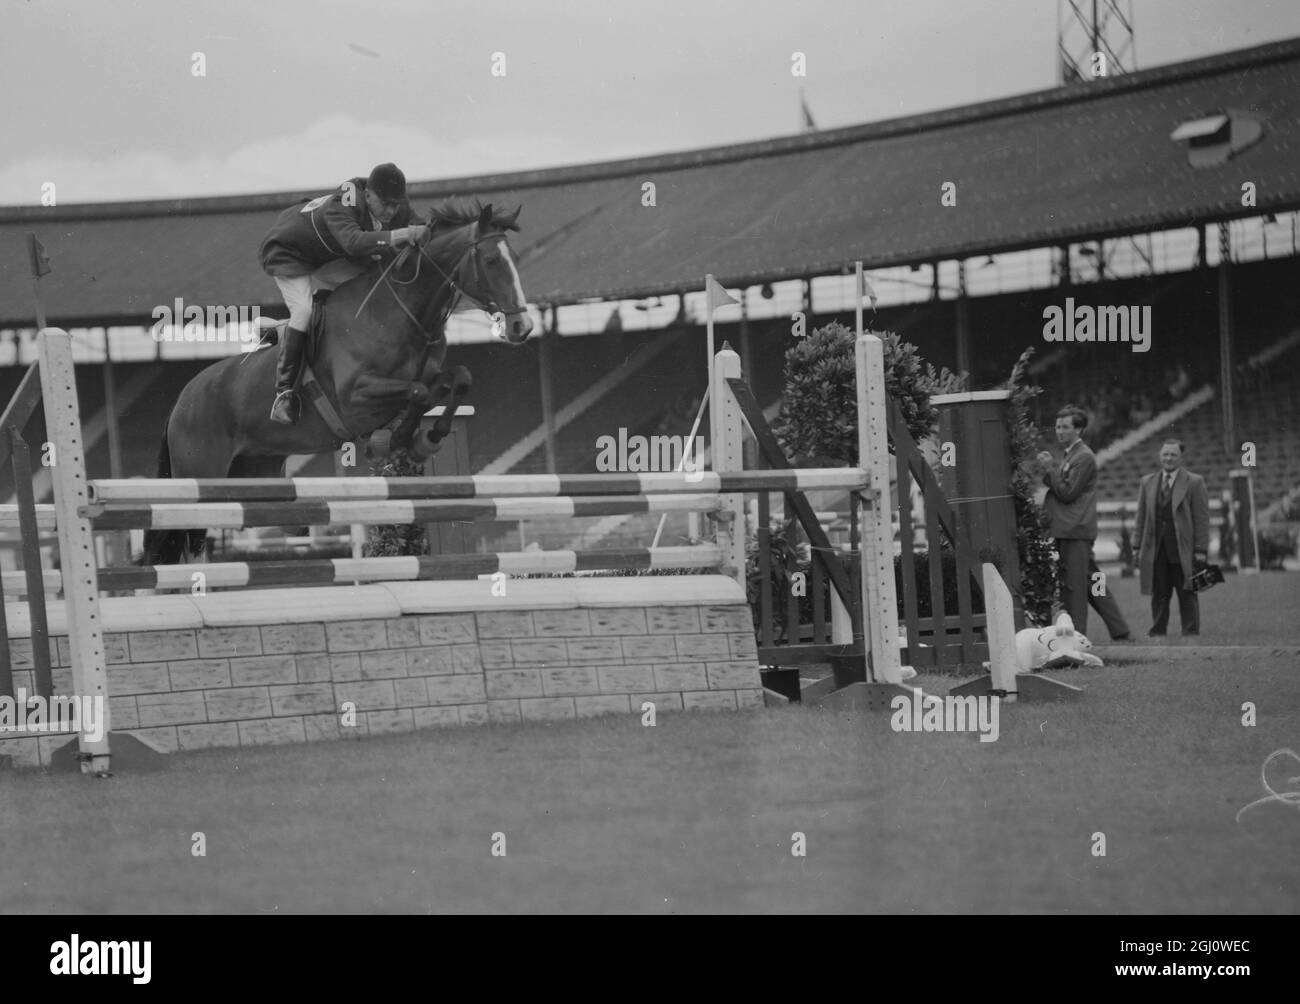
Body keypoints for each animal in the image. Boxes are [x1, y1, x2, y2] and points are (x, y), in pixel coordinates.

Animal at [139, 200, 530, 569]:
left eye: (515, 260)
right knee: (189, 537)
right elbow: (417, 394)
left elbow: (458, 379)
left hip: (254, 472)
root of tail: (181, 402)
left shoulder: (428, 376)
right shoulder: (356, 397)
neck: (398, 314)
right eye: (491, 260)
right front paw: (399, 440)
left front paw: (428, 438)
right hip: (201, 477)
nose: (521, 327)